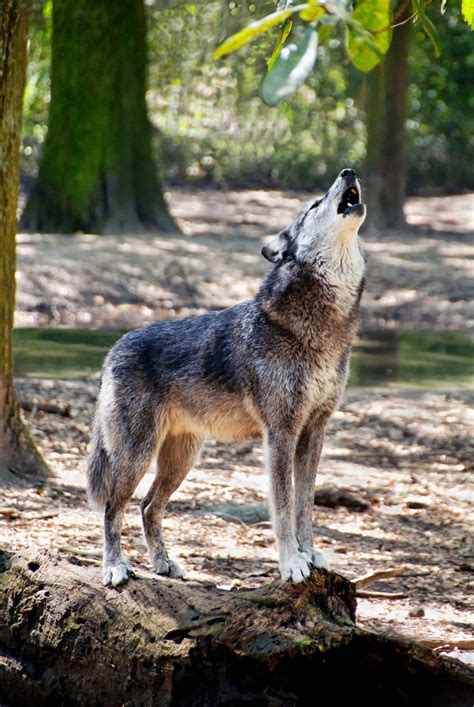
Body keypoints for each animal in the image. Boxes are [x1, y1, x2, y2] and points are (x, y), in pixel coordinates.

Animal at [87, 168, 366, 587]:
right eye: (315, 204)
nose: (348, 171)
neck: (321, 327)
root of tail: (113, 349)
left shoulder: (314, 431)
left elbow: (305, 505)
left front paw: (312, 554)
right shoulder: (281, 433)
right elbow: (283, 507)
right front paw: (292, 563)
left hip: (181, 460)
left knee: (148, 505)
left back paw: (164, 563)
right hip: (137, 455)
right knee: (112, 507)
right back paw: (115, 567)